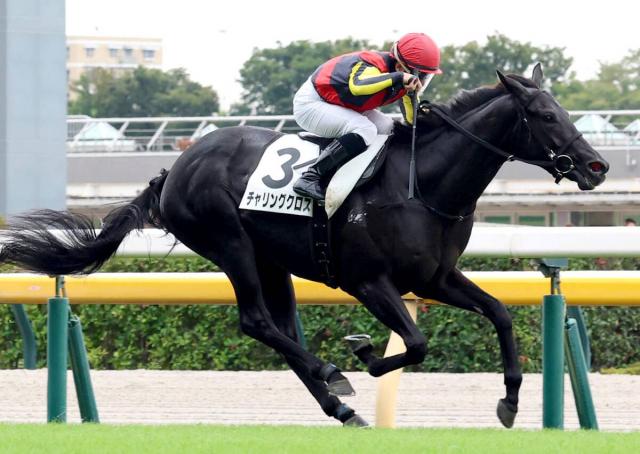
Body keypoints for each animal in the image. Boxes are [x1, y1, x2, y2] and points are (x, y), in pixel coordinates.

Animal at [0, 64, 608, 427]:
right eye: (547, 115)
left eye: (563, 111)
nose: (597, 166)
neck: (422, 184)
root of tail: (175, 168)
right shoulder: (369, 282)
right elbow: (414, 345)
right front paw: (363, 352)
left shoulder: (434, 278)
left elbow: (501, 313)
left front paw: (509, 400)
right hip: (230, 245)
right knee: (257, 322)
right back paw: (332, 374)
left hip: (273, 262)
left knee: (283, 330)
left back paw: (337, 404)